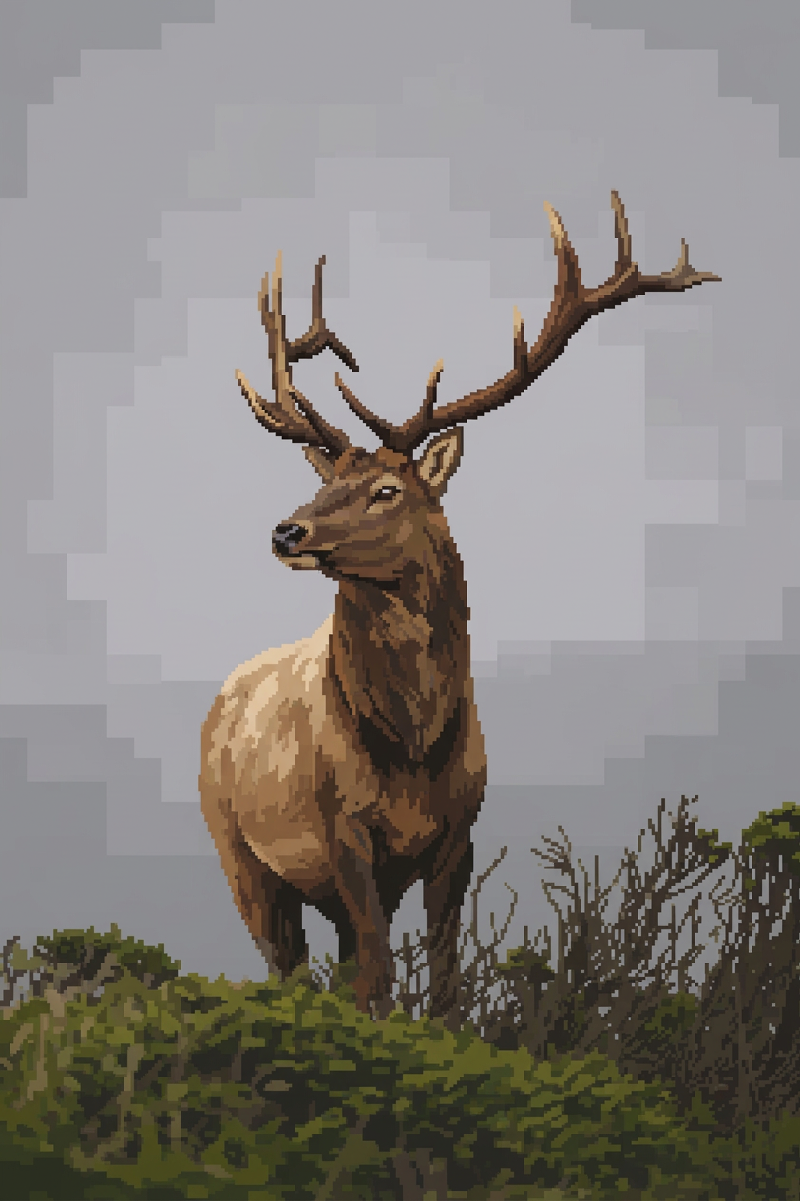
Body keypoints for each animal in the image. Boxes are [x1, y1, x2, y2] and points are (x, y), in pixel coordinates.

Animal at [199, 191, 719, 1029]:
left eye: (387, 489)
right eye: (325, 481)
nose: (287, 530)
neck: (412, 749)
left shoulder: (460, 834)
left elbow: (443, 981)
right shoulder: (343, 832)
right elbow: (379, 978)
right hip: (238, 853)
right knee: (288, 966)